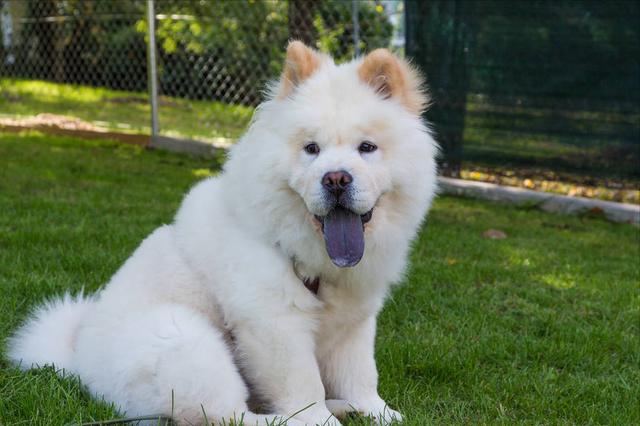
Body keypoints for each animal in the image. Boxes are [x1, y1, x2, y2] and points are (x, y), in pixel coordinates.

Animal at [8, 40, 440, 426]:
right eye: (311, 149)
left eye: (367, 147)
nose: (335, 178)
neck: (309, 255)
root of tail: (79, 360)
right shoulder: (275, 323)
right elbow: (303, 386)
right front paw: (318, 420)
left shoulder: (355, 320)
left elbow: (361, 374)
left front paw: (377, 412)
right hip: (189, 341)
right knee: (225, 414)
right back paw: (291, 419)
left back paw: (343, 407)